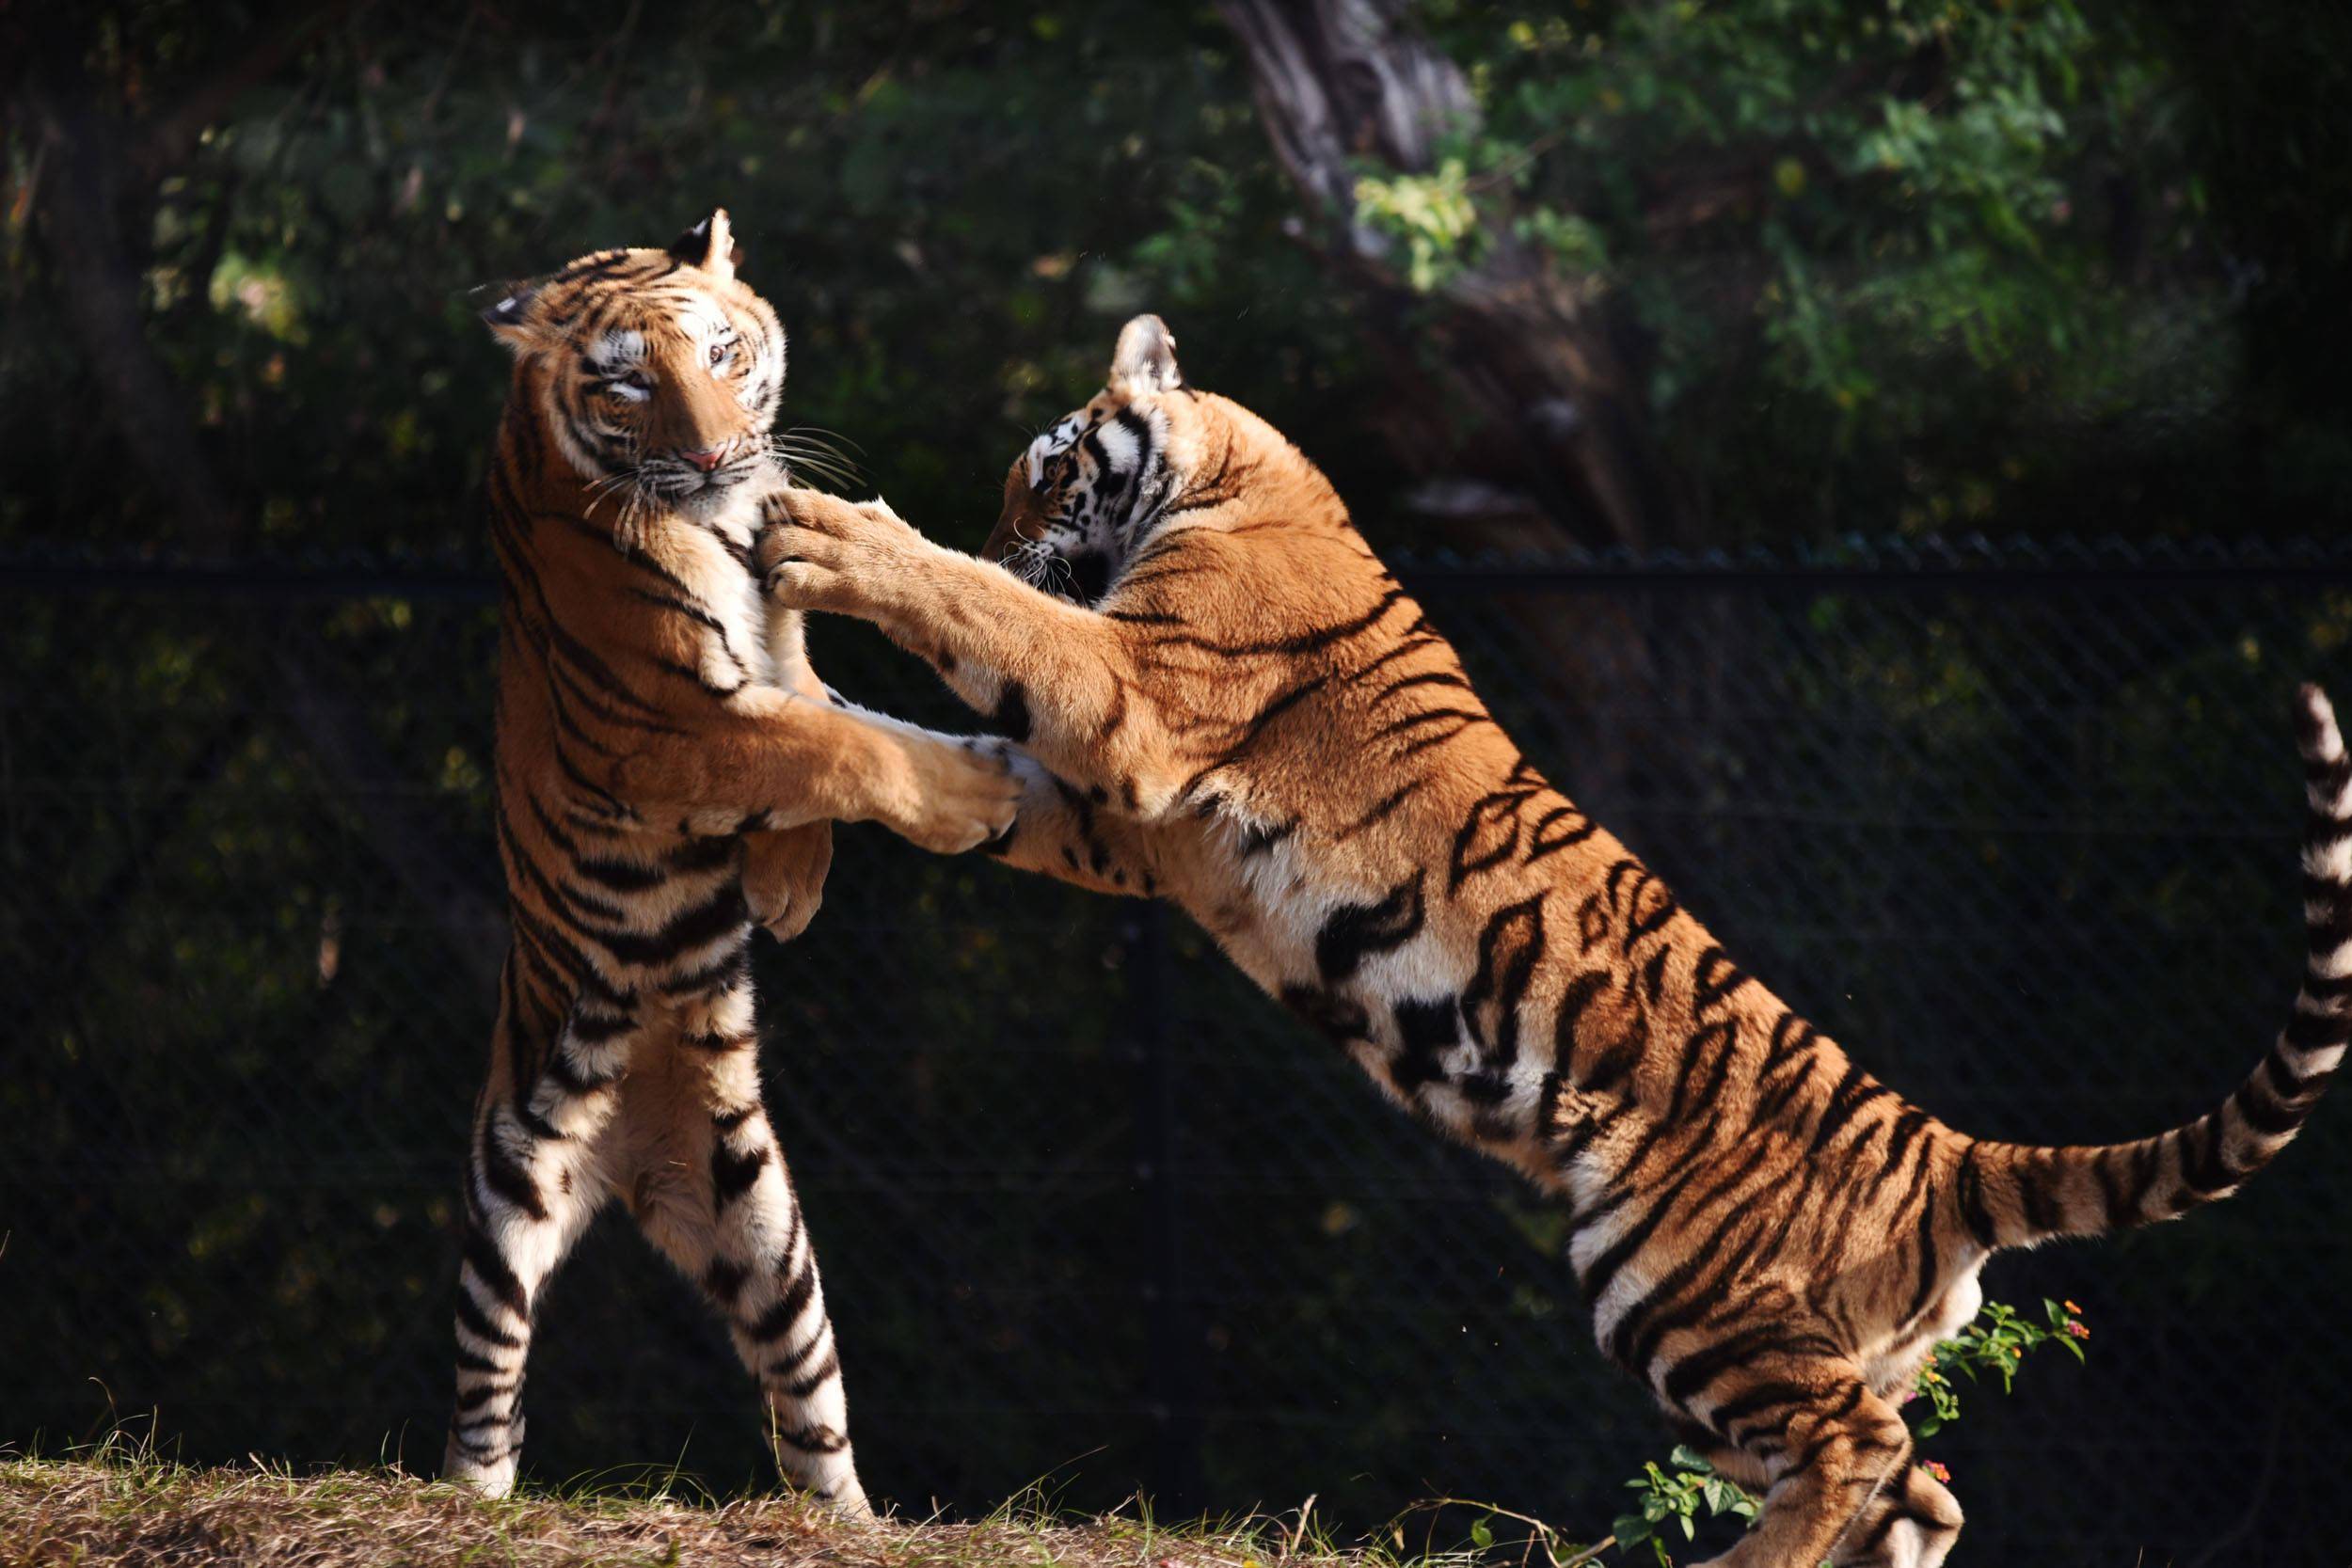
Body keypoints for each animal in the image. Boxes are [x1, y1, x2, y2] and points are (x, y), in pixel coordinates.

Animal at [444, 208, 1016, 1504]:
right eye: (624, 382)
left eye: (720, 353)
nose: (713, 458)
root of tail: (630, 1161)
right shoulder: (667, 723)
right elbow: (844, 744)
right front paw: (978, 795)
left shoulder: (777, 651)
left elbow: (832, 728)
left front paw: (786, 883)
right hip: (508, 1195)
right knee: (485, 1401)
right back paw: (467, 1499)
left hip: (768, 1233)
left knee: (810, 1412)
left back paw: (853, 1521)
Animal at [762, 312, 2343, 1560]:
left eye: (1042, 464)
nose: (1008, 511)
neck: (1231, 475)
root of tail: (1940, 1148)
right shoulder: (1130, 821)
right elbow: (952, 757)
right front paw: (813, 748)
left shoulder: (1132, 700)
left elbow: (980, 607)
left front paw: (835, 537)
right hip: (1784, 1337)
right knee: (1923, 1488)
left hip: (1674, 1280)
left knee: (1861, 1451)